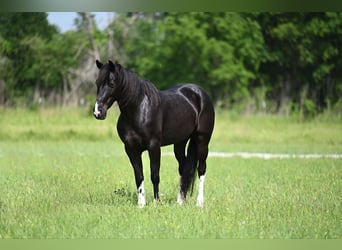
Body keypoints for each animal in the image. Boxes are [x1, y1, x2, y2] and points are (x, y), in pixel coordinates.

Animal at [93, 60, 214, 207]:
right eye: (97, 82)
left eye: (111, 83)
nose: (98, 112)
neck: (139, 109)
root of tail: (200, 93)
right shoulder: (131, 149)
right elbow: (139, 176)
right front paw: (141, 204)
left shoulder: (154, 147)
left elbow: (154, 175)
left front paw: (157, 202)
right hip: (180, 143)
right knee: (184, 168)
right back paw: (180, 201)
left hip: (202, 140)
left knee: (201, 169)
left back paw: (199, 202)